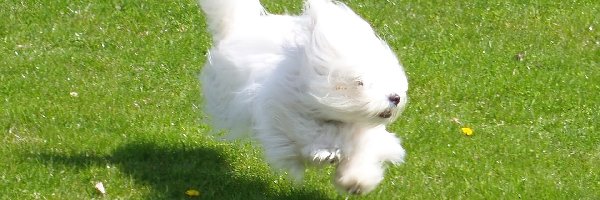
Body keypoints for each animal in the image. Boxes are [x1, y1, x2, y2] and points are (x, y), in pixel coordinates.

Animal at [199, 0, 410, 194]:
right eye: (360, 83)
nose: (395, 97)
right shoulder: (287, 116)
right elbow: (312, 133)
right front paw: (327, 153)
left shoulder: (364, 135)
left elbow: (363, 152)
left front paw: (356, 181)